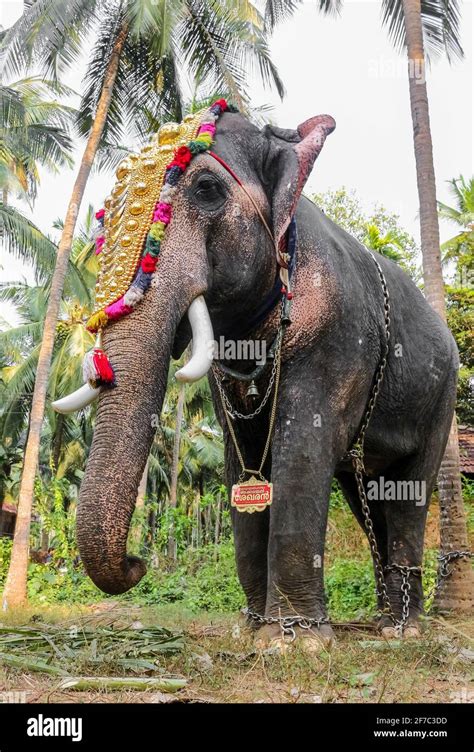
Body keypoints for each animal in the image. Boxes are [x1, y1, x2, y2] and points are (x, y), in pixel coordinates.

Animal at [53, 104, 458, 648]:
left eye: (206, 189)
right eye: (104, 219)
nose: (139, 563)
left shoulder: (339, 336)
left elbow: (303, 452)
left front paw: (296, 643)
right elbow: (237, 455)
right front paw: (249, 632)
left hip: (442, 397)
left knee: (411, 490)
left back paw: (403, 632)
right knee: (365, 492)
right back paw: (382, 621)